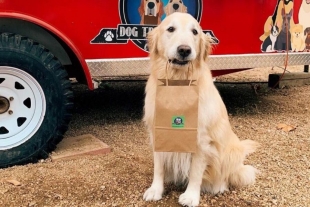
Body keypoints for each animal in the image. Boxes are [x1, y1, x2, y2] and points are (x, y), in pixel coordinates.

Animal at [143, 12, 260, 205]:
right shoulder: (158, 133)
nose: (184, 50)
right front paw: (155, 190)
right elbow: (158, 167)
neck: (179, 82)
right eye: (170, 29)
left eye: (195, 32)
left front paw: (191, 196)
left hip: (232, 152)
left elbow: (195, 172)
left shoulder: (202, 140)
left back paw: (219, 186)